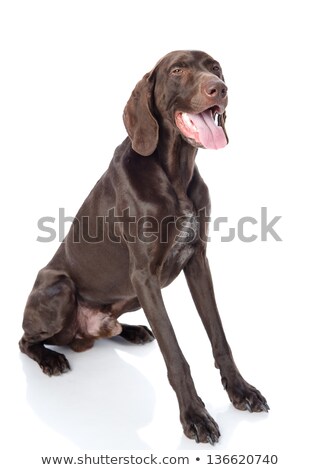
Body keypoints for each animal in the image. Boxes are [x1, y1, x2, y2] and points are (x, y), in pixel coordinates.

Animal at [20, 50, 268, 444]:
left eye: (215, 67)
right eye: (177, 70)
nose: (220, 88)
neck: (176, 174)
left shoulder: (197, 262)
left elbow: (219, 337)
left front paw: (240, 390)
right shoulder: (145, 277)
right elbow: (175, 354)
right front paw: (195, 416)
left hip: (128, 300)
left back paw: (132, 331)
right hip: (58, 286)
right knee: (25, 340)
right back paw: (51, 358)